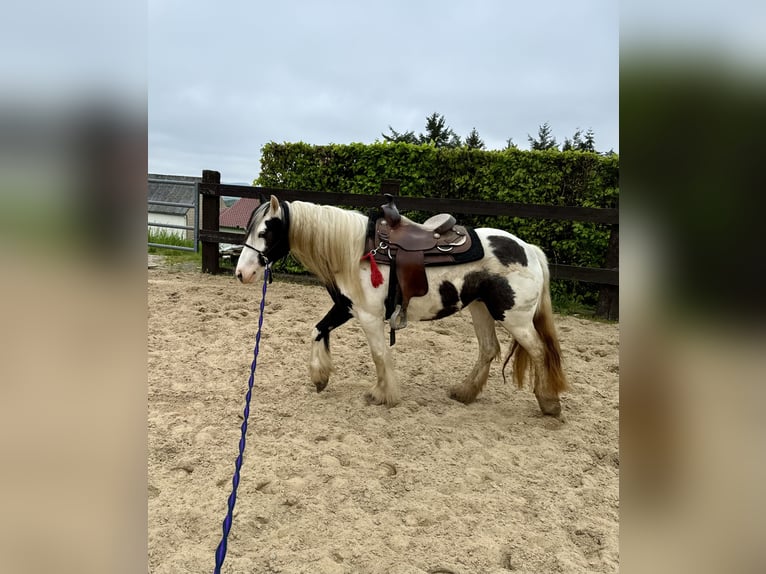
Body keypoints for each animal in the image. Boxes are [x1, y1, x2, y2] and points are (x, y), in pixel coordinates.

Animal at [237, 196, 568, 416]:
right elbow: (317, 330)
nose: (242, 273)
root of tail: (529, 250)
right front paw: (320, 377)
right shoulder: (346, 308)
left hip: (514, 318)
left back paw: (549, 403)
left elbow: (379, 354)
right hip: (481, 308)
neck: (356, 251)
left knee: (539, 351)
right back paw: (465, 392)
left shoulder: (368, 316)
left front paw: (383, 394)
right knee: (489, 349)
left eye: (264, 232)